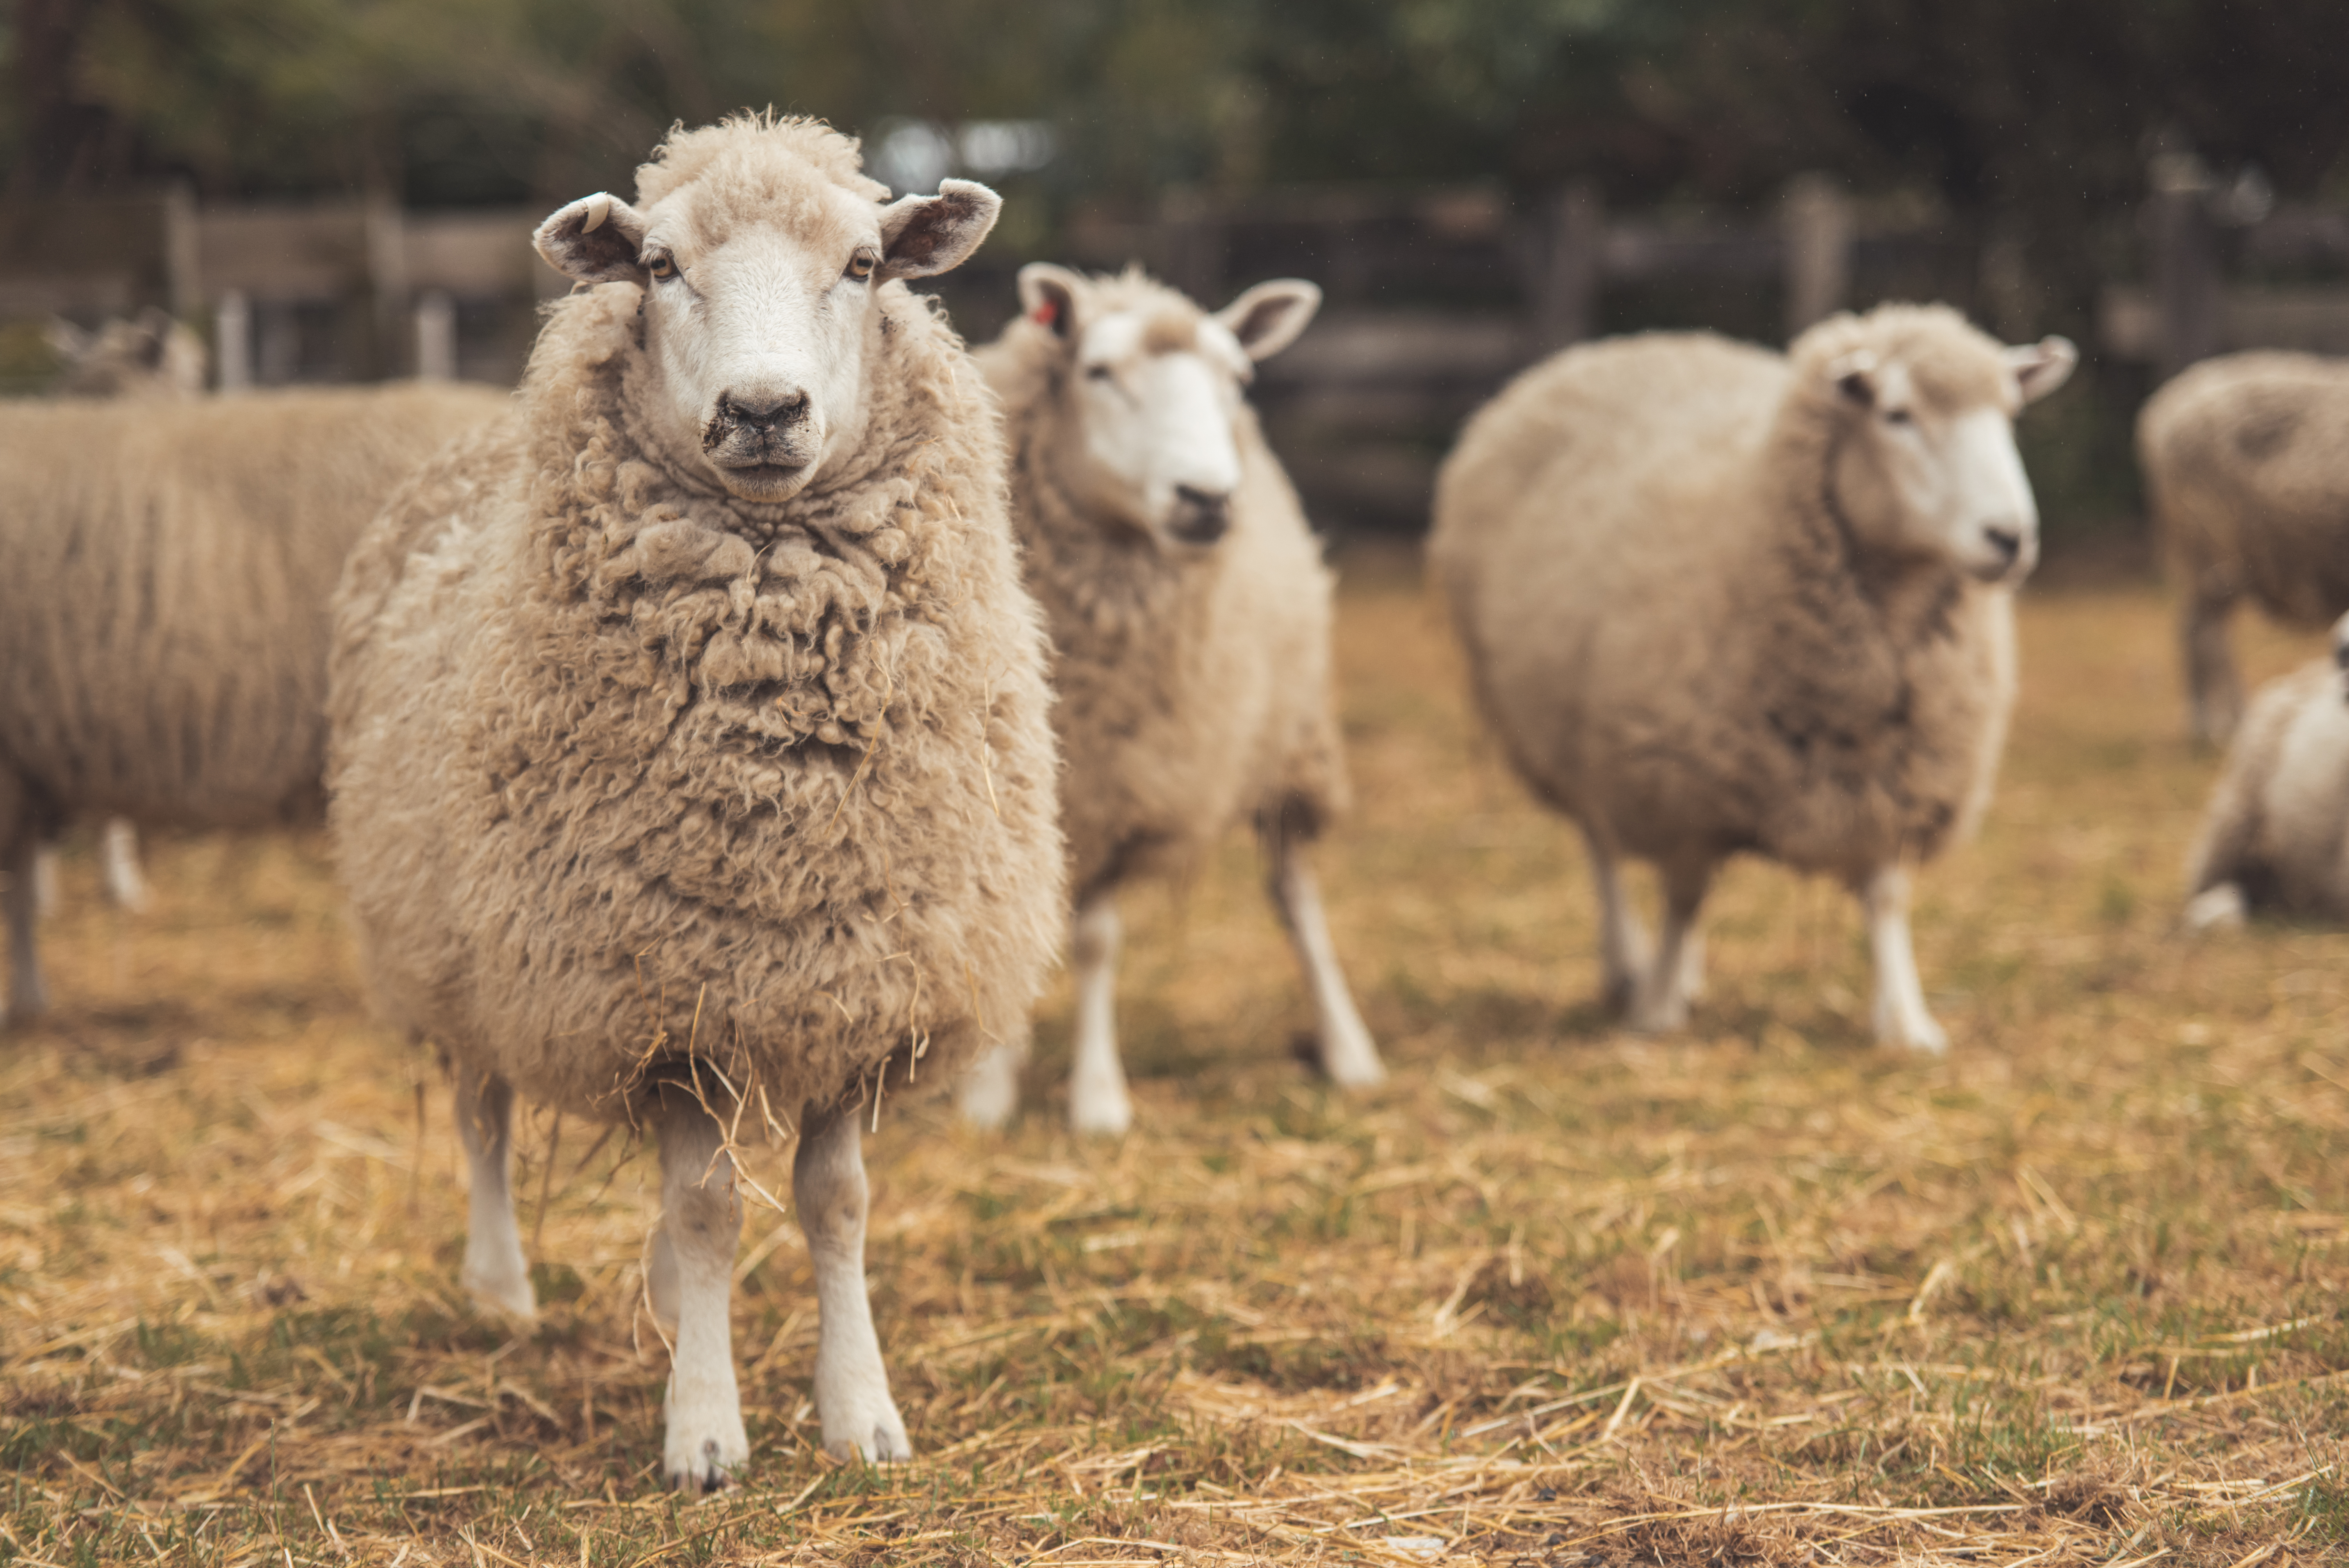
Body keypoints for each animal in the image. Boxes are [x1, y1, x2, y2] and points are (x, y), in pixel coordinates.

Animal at [325, 114, 1063, 1487]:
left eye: (867, 263)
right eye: (659, 266)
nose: (764, 410)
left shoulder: (859, 976)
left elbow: (834, 1204)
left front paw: (860, 1413)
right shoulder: (657, 994)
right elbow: (712, 1205)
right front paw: (705, 1434)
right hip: (465, 946)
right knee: (484, 1113)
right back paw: (500, 1291)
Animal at [954, 264, 1384, 1136]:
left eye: (1240, 377)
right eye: (1097, 371)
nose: (1208, 499)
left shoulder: (1117, 780)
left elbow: (1096, 941)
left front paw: (1097, 1099)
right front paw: (987, 1091)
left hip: (1288, 742)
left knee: (1295, 896)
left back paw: (1348, 1050)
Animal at [1429, 304, 2075, 1051]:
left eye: (2011, 414)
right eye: (1896, 414)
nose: (2011, 537)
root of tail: (1611, 348)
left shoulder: (1899, 777)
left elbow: (1885, 897)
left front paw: (1905, 1020)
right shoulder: (1678, 786)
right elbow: (1682, 899)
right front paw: (1657, 1011)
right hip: (1564, 738)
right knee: (1602, 850)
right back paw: (1629, 967)